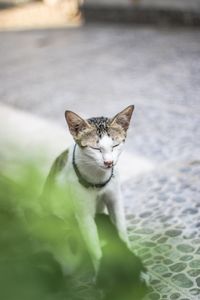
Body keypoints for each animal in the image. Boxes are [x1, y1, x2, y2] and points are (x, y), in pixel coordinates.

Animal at [43, 105, 134, 274]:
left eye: (115, 146)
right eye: (96, 148)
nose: (109, 162)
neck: (98, 180)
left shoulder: (115, 200)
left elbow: (122, 230)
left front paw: (129, 253)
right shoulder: (84, 215)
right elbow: (94, 248)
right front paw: (101, 272)